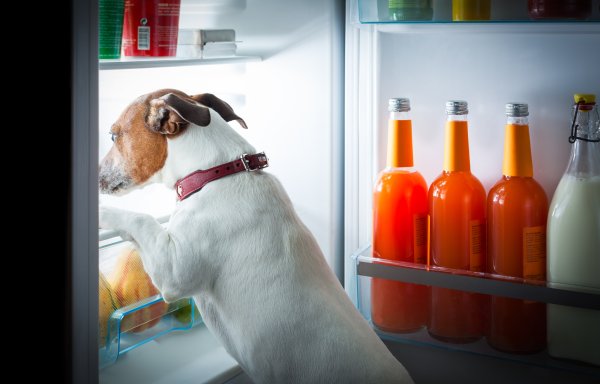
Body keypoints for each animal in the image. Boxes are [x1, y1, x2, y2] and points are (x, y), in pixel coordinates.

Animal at [99, 88, 412, 382]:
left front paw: (102, 212)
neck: (216, 173)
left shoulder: (174, 272)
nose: (97, 175)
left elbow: (142, 219)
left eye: (113, 136)